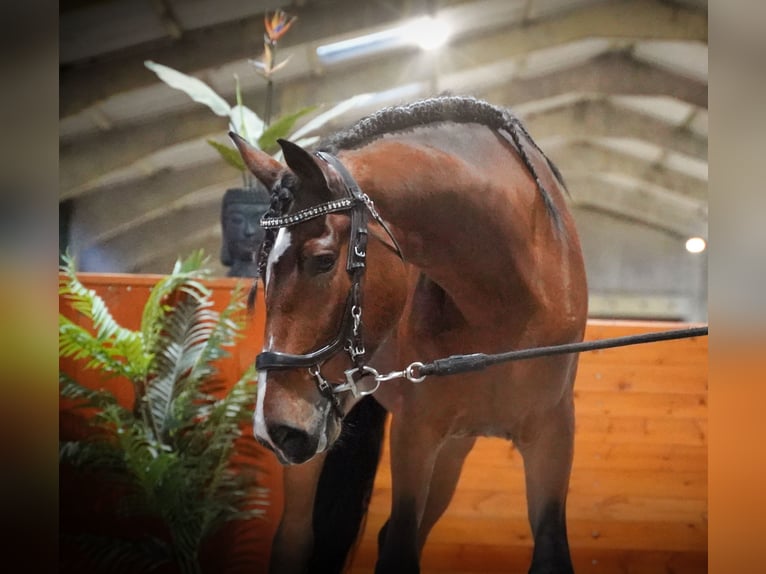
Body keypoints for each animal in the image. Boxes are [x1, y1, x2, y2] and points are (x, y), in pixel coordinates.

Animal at [231, 98, 592, 574]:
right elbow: (399, 547)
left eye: (323, 260)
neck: (509, 302)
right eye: (261, 267)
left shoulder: (553, 435)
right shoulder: (415, 433)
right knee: (294, 538)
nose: (274, 429)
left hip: (453, 447)